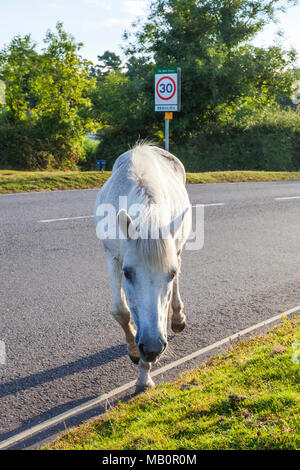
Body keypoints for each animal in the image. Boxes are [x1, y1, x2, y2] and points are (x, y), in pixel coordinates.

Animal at [95, 144, 191, 390]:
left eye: (170, 273)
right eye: (127, 273)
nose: (152, 347)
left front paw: (144, 376)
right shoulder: (111, 256)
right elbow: (121, 311)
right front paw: (134, 352)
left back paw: (177, 318)